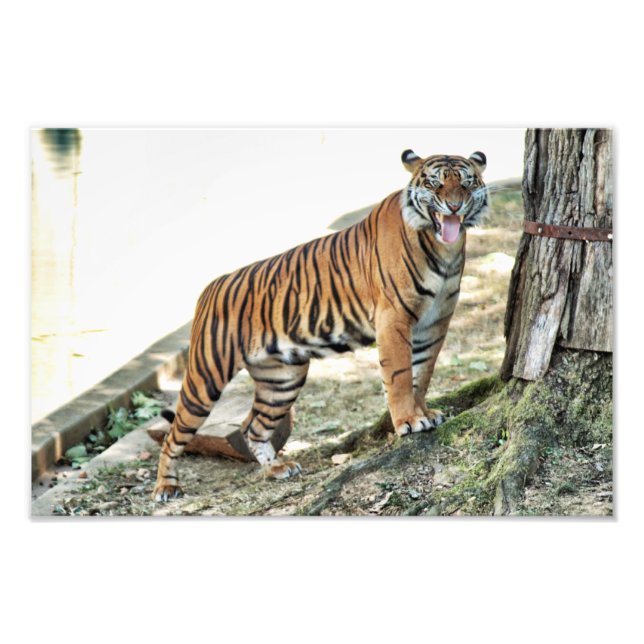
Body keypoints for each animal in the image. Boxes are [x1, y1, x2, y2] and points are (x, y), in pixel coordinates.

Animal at [153, 149, 488, 501]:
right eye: (435, 184)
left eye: (466, 183)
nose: (454, 206)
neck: (443, 249)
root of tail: (209, 288)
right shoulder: (394, 318)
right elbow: (399, 375)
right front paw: (409, 421)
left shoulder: (435, 322)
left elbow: (422, 374)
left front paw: (424, 412)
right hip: (205, 379)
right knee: (173, 436)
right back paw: (165, 487)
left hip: (281, 381)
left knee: (252, 427)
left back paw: (277, 469)